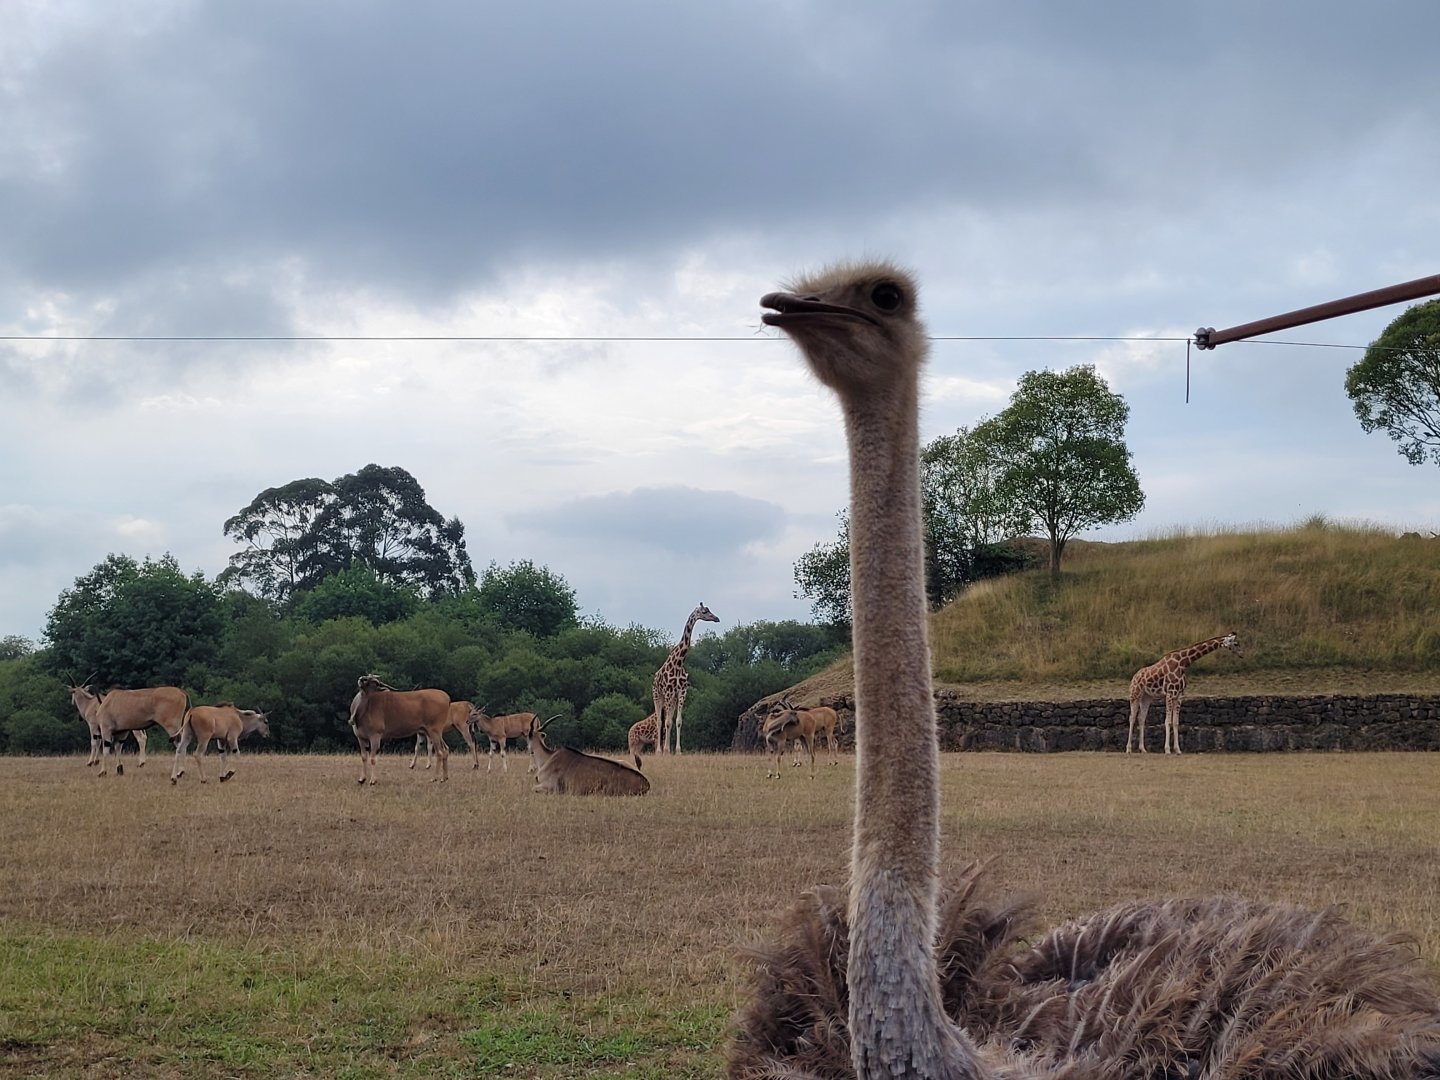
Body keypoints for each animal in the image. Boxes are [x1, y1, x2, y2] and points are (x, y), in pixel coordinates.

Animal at [652, 603, 719, 754]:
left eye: (709, 610)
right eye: (704, 611)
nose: (716, 618)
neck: (679, 662)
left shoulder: (682, 692)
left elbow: (677, 721)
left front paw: (677, 751)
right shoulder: (669, 692)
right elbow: (666, 722)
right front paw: (666, 750)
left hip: (672, 698)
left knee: (668, 720)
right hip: (657, 695)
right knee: (659, 721)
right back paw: (659, 750)